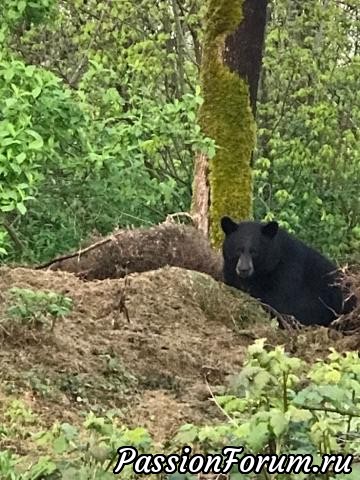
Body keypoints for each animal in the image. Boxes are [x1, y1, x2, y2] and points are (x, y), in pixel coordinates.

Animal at [219, 217, 352, 326]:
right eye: (238, 250)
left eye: (254, 251)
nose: (244, 269)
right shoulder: (231, 272)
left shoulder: (287, 274)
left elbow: (284, 305)